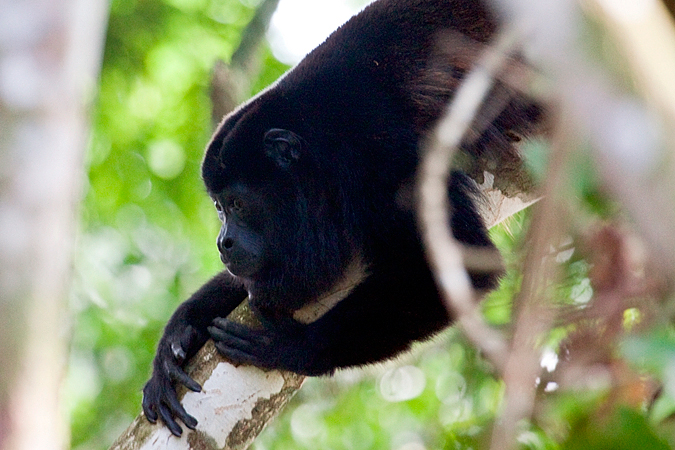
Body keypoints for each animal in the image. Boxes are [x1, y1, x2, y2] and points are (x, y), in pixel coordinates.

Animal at [144, 0, 544, 436]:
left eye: (237, 204)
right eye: (218, 207)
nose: (223, 242)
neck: (320, 151)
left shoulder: (383, 161)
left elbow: (465, 266)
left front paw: (294, 348)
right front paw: (177, 336)